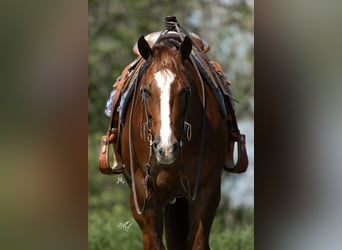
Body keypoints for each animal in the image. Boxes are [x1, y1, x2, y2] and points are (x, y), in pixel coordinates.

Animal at [121, 34, 228, 249]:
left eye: (186, 90)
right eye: (145, 90)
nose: (166, 149)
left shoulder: (207, 189)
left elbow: (197, 241)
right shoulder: (142, 193)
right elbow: (154, 242)